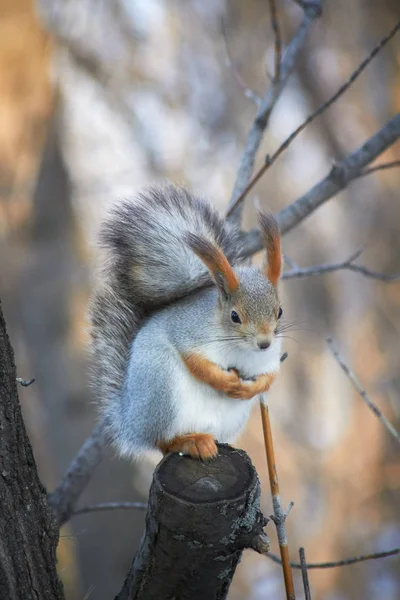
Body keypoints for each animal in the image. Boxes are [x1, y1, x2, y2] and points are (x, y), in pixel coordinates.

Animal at [88, 182, 282, 460]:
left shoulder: (269, 358)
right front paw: (225, 381)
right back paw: (191, 442)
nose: (264, 343)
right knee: (163, 442)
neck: (240, 348)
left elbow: (269, 376)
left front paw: (250, 389)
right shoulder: (189, 332)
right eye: (235, 316)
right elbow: (196, 362)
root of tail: (131, 422)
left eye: (280, 312)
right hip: (161, 391)